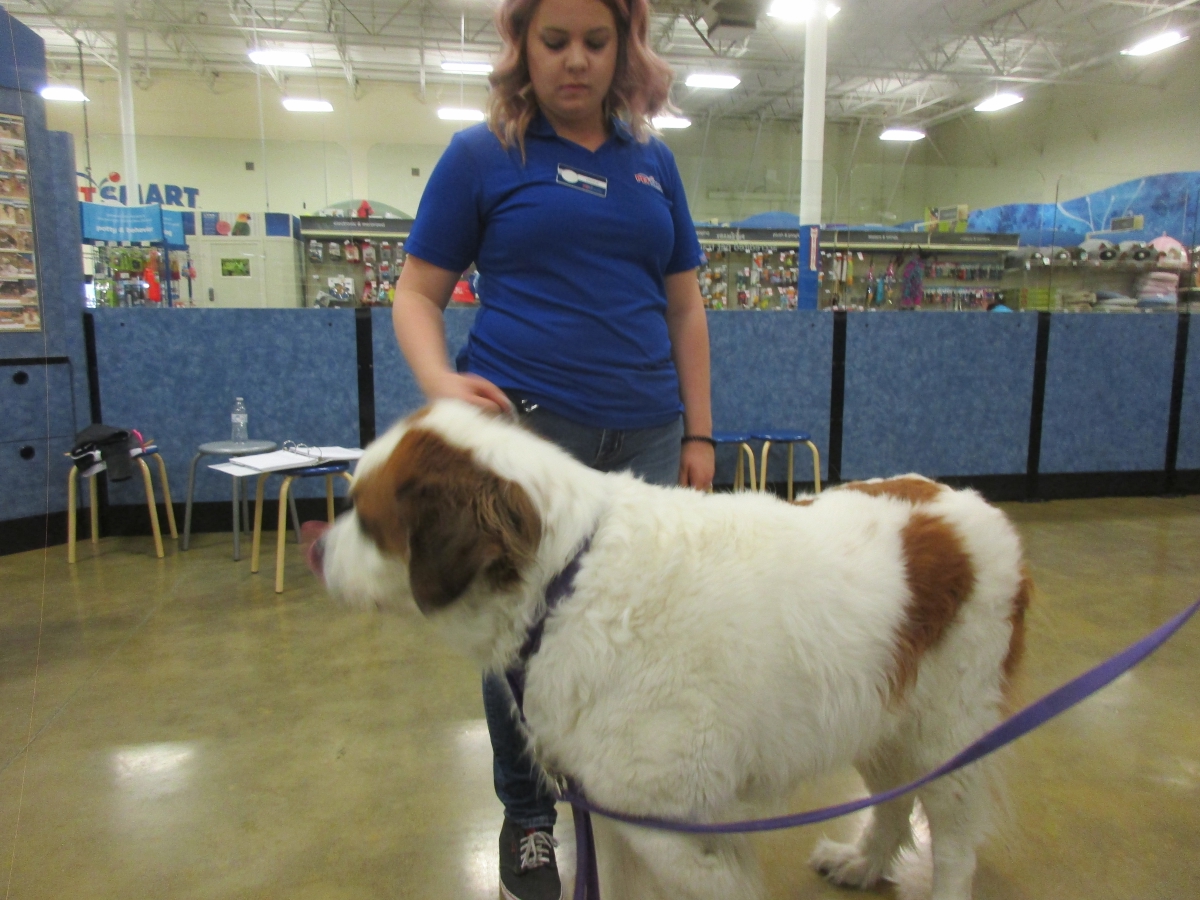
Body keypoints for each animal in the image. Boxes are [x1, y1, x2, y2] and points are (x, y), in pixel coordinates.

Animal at [311, 400, 1031, 900]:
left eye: (368, 520)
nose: (314, 544)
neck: (565, 582)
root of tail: (967, 503)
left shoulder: (677, 832)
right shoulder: (611, 814)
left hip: (949, 734)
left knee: (954, 843)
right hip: (879, 716)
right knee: (894, 799)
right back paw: (862, 861)